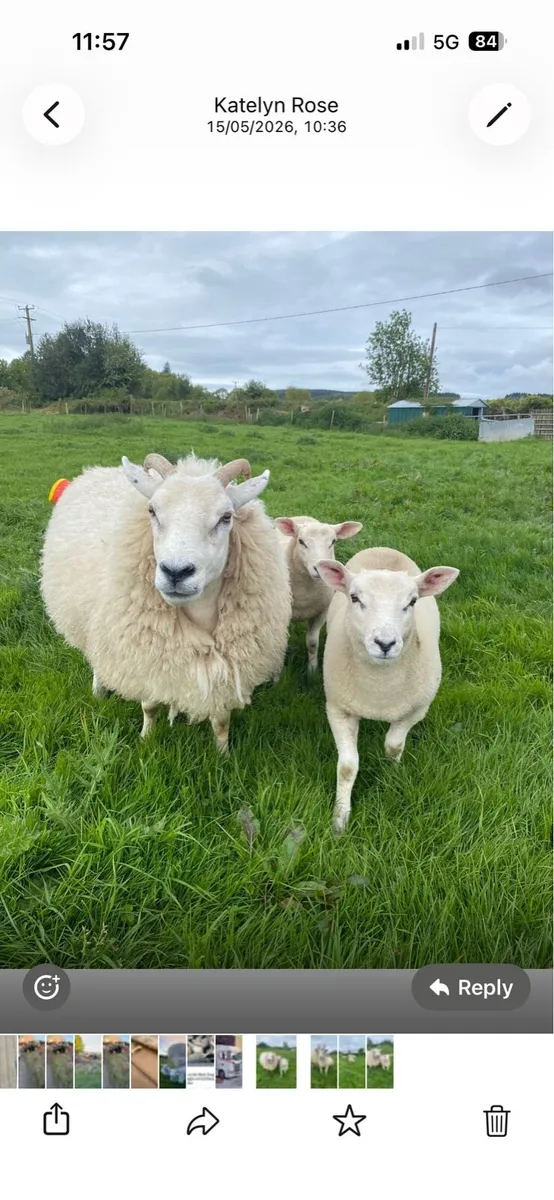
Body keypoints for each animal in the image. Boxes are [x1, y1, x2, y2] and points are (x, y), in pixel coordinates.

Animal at [41, 453, 292, 749]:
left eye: (226, 517)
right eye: (152, 511)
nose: (176, 572)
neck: (200, 615)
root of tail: (97, 470)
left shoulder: (228, 667)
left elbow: (221, 720)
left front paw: (223, 753)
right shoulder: (149, 656)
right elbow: (149, 706)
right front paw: (146, 739)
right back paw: (99, 691)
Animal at [275, 516, 362, 672]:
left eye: (333, 541)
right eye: (301, 541)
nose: (317, 568)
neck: (304, 592)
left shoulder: (322, 612)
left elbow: (312, 642)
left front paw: (312, 670)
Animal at [317, 547, 459, 832]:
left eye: (412, 601)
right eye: (354, 597)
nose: (385, 643)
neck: (379, 690)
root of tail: (385, 550)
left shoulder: (416, 710)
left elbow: (394, 746)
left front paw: (392, 777)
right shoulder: (338, 709)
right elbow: (347, 766)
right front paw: (340, 820)